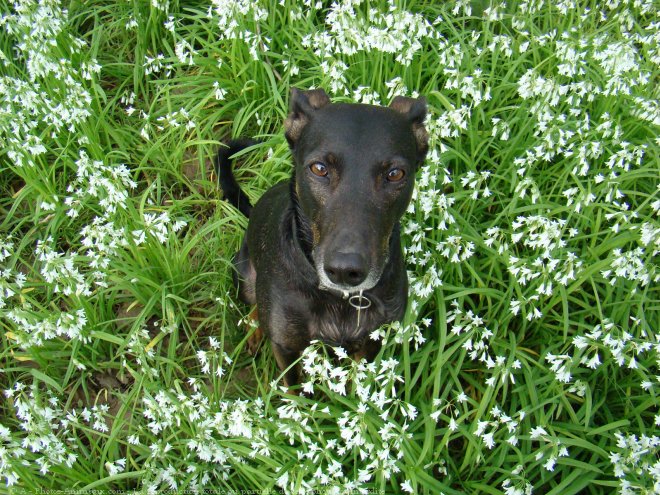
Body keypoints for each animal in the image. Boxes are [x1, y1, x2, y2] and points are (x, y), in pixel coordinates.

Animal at [219, 89, 430, 388]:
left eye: (395, 174)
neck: (339, 298)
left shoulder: (374, 341)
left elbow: (357, 384)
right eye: (319, 168)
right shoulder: (286, 347)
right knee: (254, 305)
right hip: (244, 277)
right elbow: (294, 389)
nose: (345, 270)